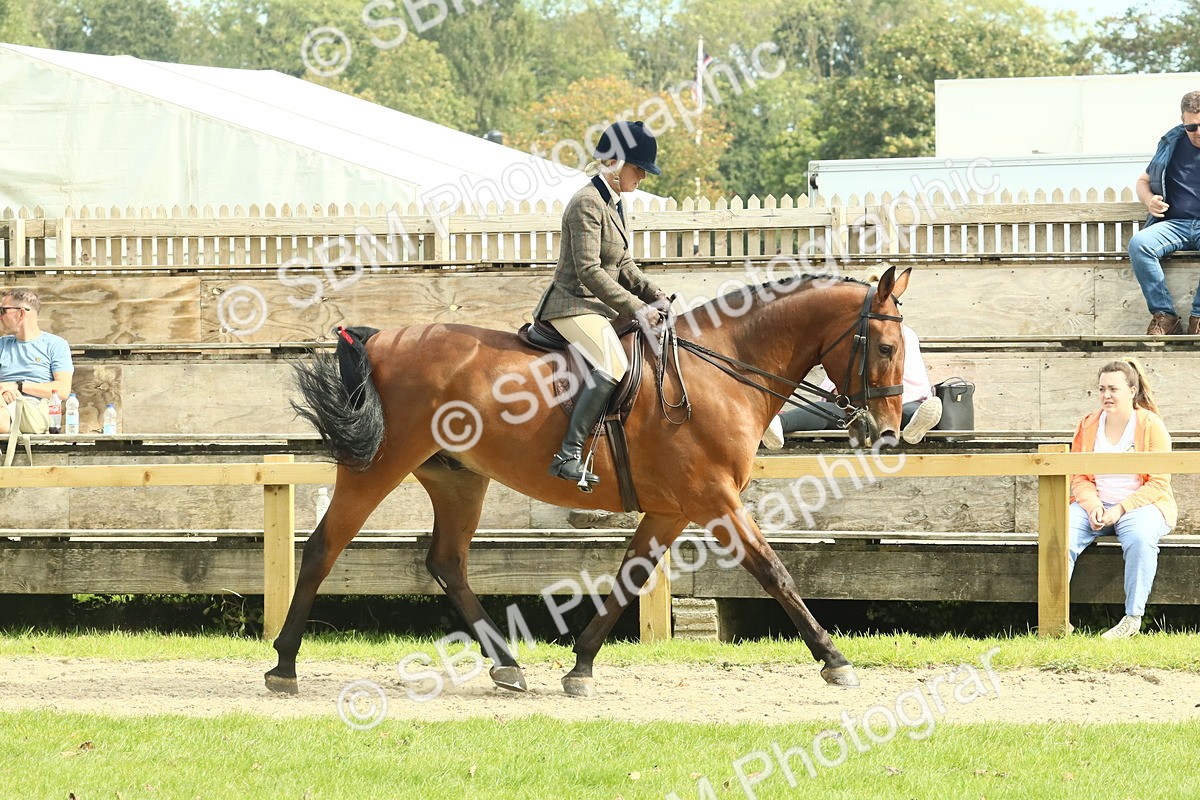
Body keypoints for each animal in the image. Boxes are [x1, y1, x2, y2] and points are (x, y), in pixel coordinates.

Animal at [265, 265, 912, 697]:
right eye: (886, 347)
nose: (885, 429)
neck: (721, 369)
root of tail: (383, 338)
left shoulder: (674, 509)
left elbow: (631, 576)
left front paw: (580, 665)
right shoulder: (714, 499)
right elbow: (773, 570)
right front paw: (834, 658)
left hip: (458, 480)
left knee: (447, 562)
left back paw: (507, 665)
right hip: (379, 466)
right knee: (323, 548)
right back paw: (284, 666)